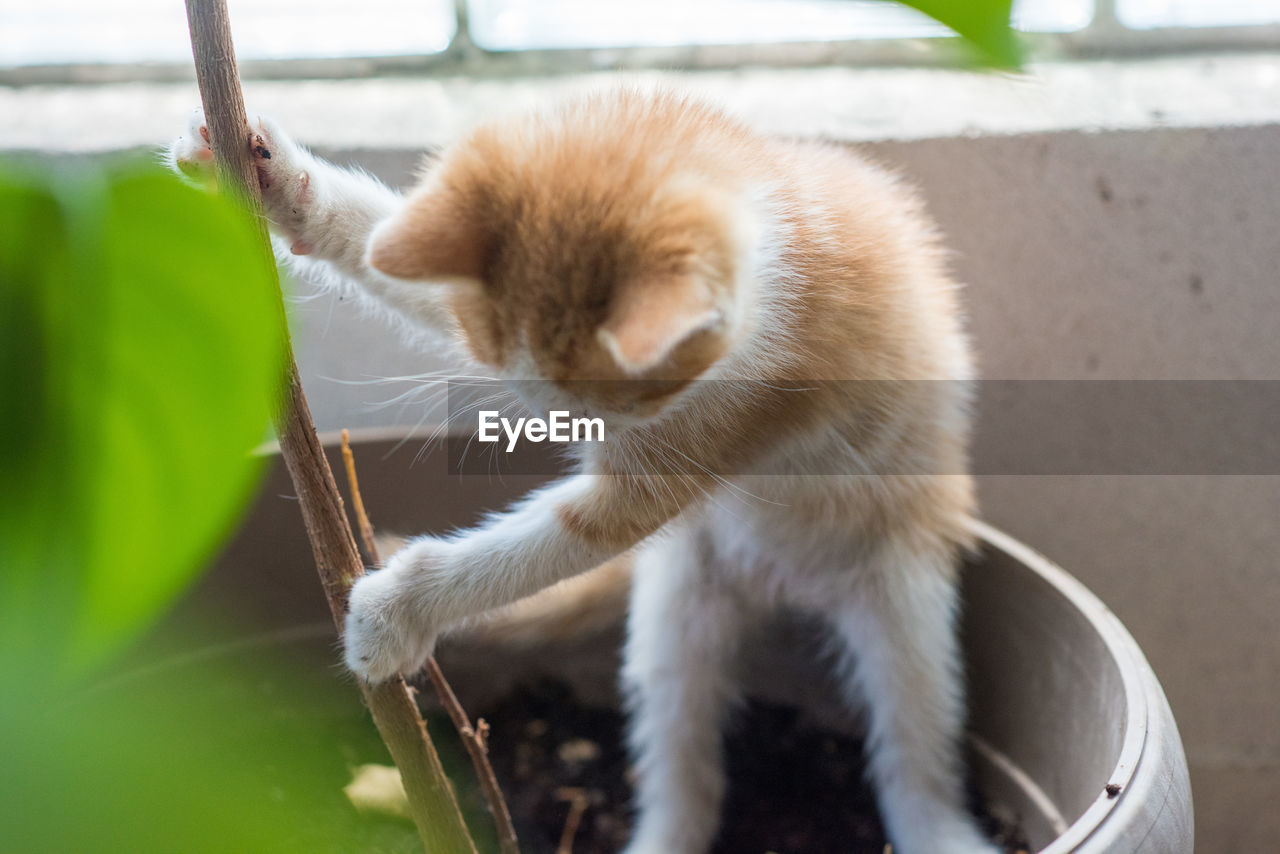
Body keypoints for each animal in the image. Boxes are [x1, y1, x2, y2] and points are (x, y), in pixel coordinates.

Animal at [167, 90, 988, 854]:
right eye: (515, 373)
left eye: (617, 399)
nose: (572, 428)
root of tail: (785, 586)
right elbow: (383, 246)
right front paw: (277, 182)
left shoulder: (729, 418)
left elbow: (567, 530)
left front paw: (397, 612)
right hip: (677, 610)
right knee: (680, 740)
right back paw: (666, 832)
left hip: (904, 591)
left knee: (913, 734)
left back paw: (937, 826)